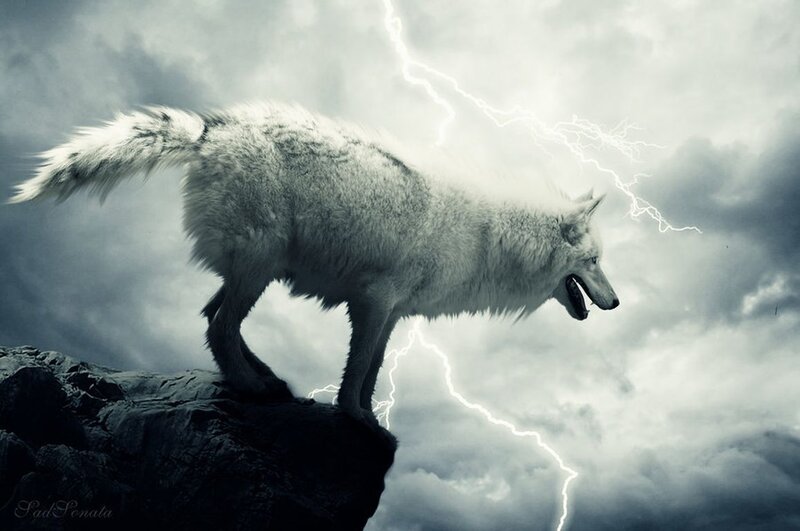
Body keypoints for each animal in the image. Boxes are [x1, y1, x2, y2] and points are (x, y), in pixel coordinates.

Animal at [9, 102, 619, 425]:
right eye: (593, 262)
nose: (615, 302)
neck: (492, 236)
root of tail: (211, 130)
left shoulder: (388, 311)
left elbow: (372, 369)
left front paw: (369, 419)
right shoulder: (373, 301)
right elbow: (357, 369)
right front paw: (352, 417)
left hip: (255, 270)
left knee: (211, 318)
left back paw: (266, 379)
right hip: (259, 266)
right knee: (218, 324)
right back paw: (250, 386)